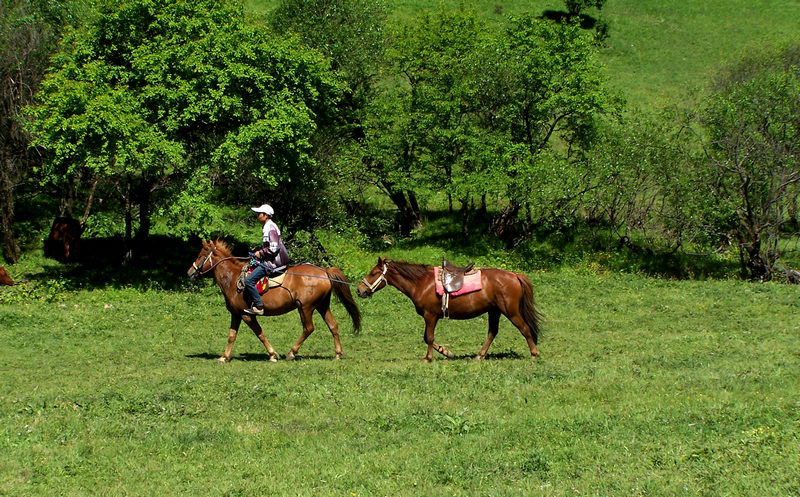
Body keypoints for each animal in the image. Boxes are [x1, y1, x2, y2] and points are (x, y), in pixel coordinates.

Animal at [186, 239, 360, 360]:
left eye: (200, 256)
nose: (189, 273)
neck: (233, 279)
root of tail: (324, 271)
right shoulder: (236, 314)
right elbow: (231, 336)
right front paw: (224, 357)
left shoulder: (247, 315)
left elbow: (260, 334)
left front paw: (272, 354)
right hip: (322, 306)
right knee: (333, 325)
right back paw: (337, 354)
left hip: (305, 307)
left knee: (308, 328)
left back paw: (291, 352)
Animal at [358, 256, 540, 360]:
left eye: (373, 273)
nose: (359, 290)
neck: (422, 283)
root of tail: (514, 275)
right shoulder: (431, 317)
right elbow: (427, 338)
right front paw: (446, 352)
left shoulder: (430, 316)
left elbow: (428, 337)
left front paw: (428, 358)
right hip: (494, 311)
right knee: (492, 332)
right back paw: (479, 356)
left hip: (511, 311)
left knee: (525, 329)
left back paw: (534, 354)